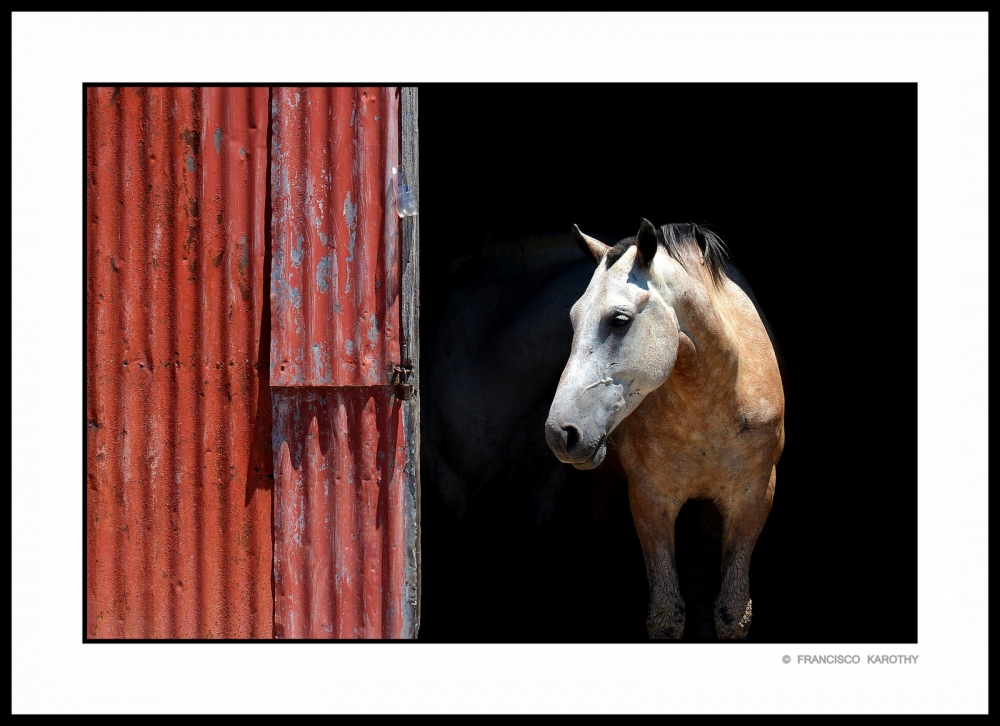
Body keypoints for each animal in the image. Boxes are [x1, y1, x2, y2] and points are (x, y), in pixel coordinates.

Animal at [544, 219, 784, 640]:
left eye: (619, 320)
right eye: (574, 319)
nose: (561, 433)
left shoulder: (754, 497)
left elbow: (731, 614)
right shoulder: (650, 500)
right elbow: (666, 615)